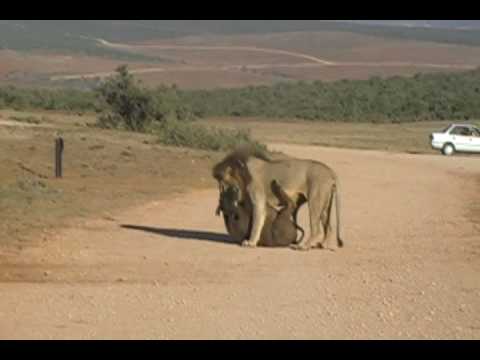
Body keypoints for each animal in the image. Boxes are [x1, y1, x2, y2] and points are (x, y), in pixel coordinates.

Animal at [212, 146, 344, 250]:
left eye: (222, 181)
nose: (220, 190)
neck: (243, 173)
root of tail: (330, 171)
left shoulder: (258, 198)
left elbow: (256, 221)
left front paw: (251, 242)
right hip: (324, 203)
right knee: (329, 227)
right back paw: (323, 245)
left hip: (315, 199)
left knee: (316, 229)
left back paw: (303, 246)